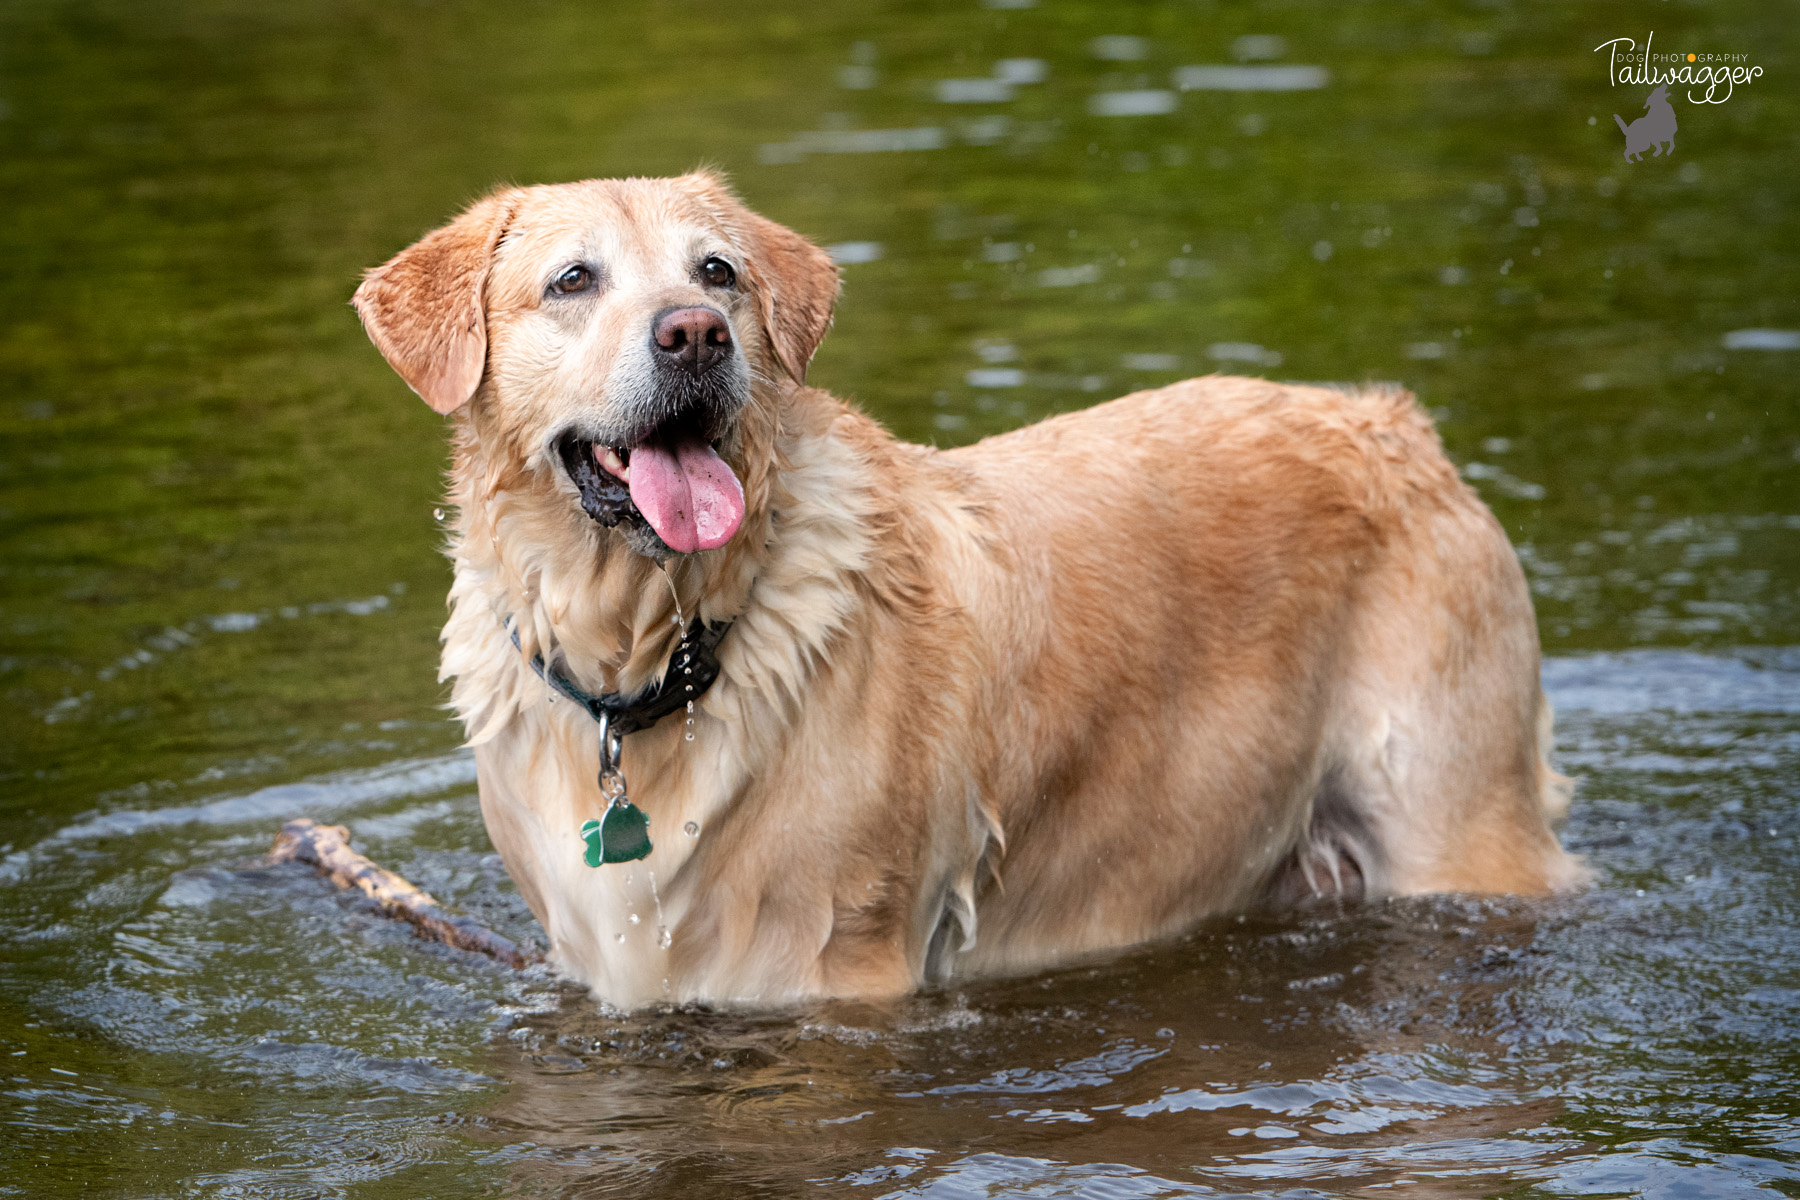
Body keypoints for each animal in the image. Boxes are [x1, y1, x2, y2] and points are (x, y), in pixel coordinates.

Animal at [351, 173, 1576, 1007]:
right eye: (572, 281)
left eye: (718, 274)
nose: (695, 336)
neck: (660, 655)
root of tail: (1393, 421)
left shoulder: (841, 968)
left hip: (1458, 818)